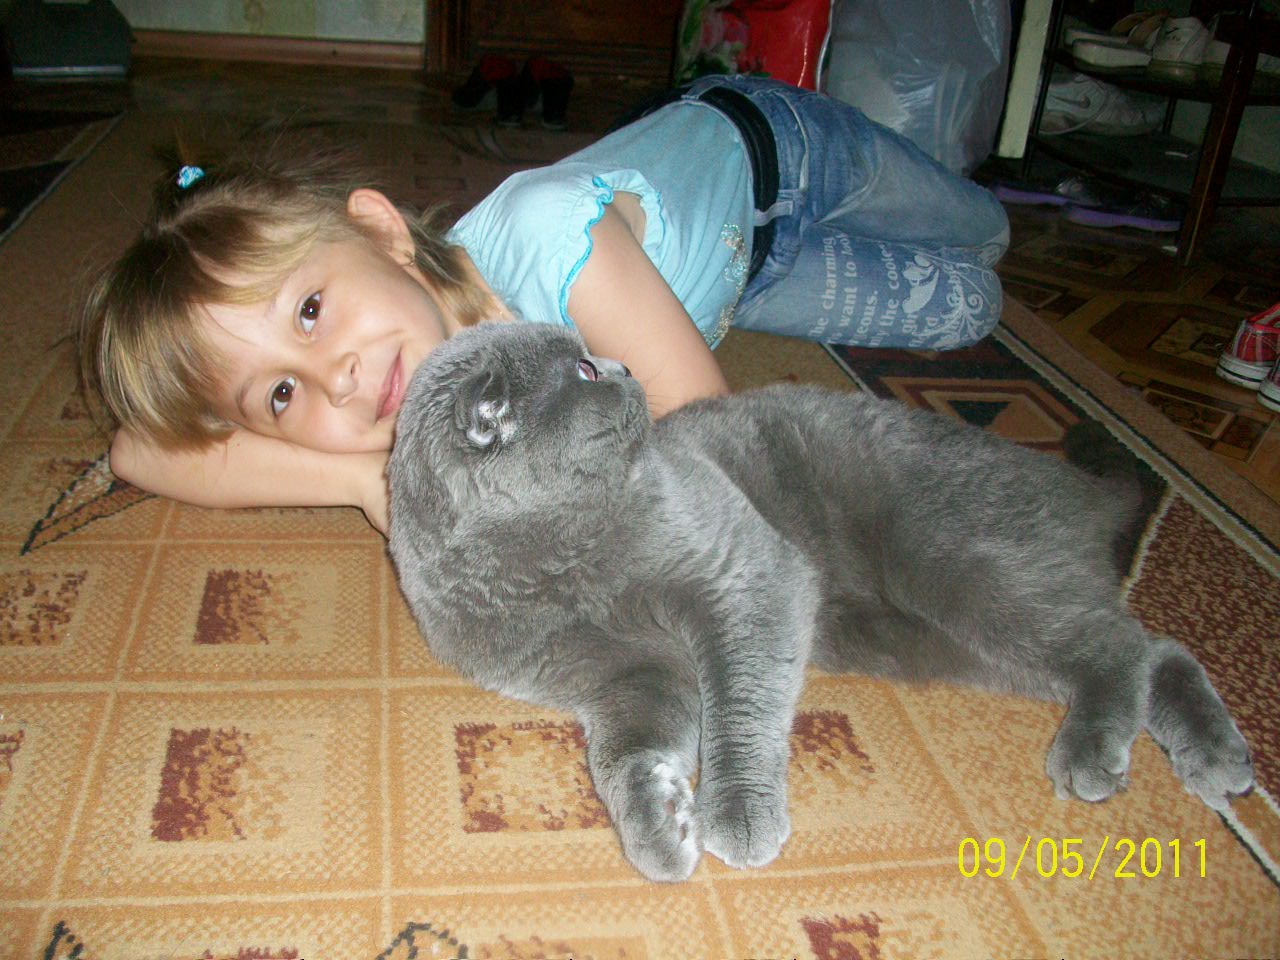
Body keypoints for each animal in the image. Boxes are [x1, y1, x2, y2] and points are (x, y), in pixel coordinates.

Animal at [386, 322, 1253, 883]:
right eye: (584, 374)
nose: (626, 364)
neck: (555, 564)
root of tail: (1069, 481)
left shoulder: (745, 572)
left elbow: (737, 706)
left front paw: (736, 811)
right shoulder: (622, 676)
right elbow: (626, 753)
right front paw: (659, 824)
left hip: (960, 566)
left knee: (1122, 645)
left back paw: (1101, 753)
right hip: (940, 638)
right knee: (1150, 648)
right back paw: (1214, 758)